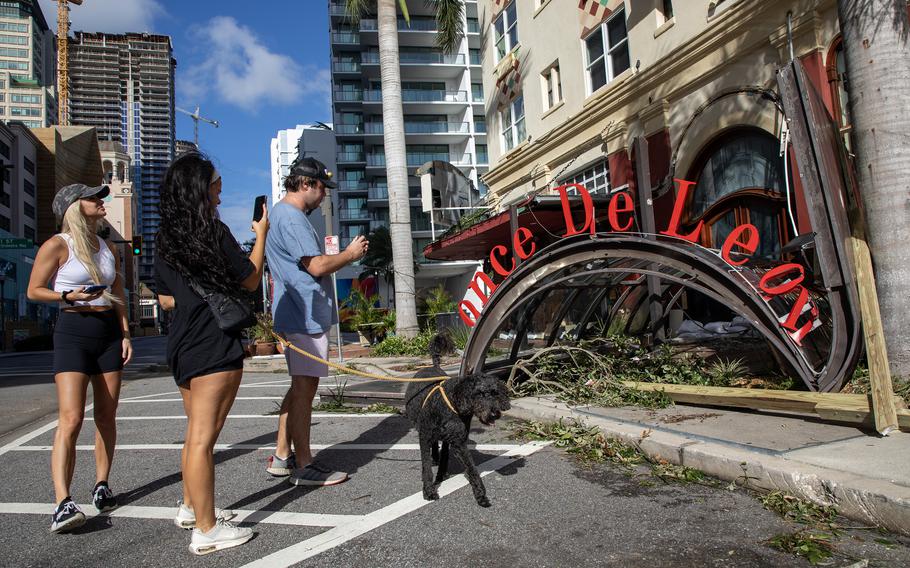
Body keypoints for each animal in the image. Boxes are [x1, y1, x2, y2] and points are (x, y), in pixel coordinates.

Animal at [406, 332, 512, 506]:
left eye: (495, 393)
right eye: (480, 393)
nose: (494, 414)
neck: (452, 404)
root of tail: (433, 366)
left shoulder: (458, 441)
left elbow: (471, 467)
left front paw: (480, 493)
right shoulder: (425, 436)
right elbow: (426, 467)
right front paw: (428, 491)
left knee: (442, 452)